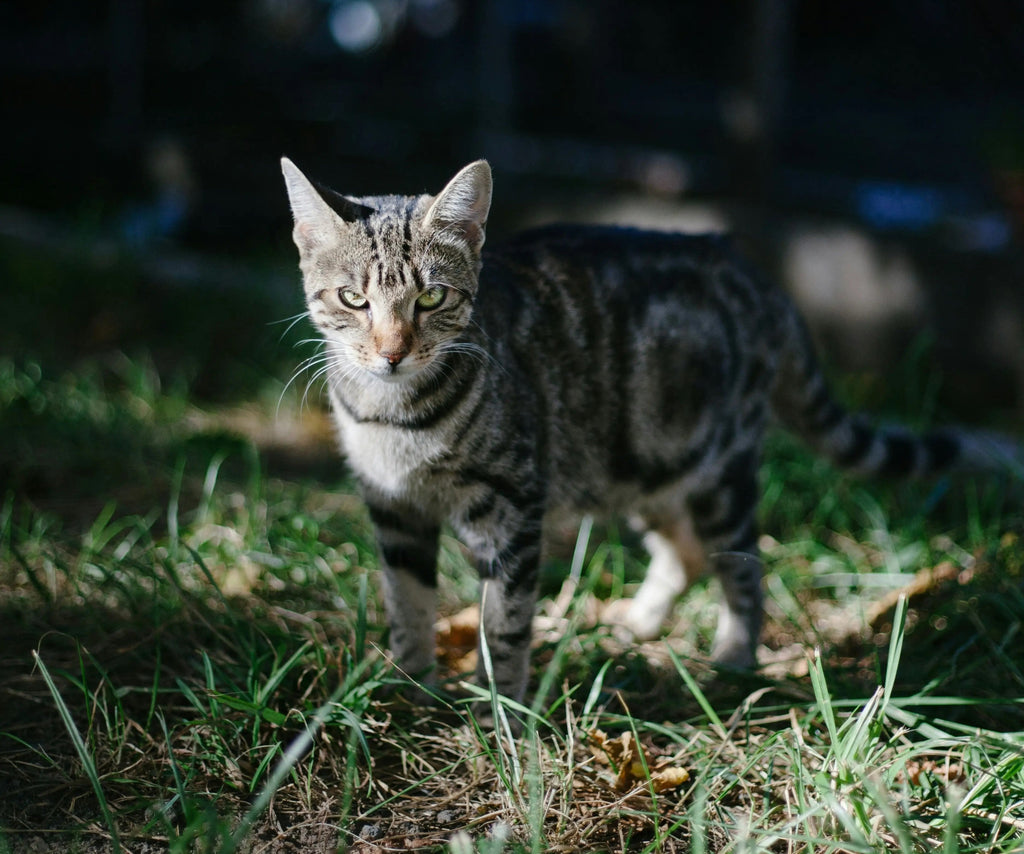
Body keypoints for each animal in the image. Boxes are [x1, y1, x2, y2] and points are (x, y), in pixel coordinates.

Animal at [278, 156, 1015, 700]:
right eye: (353, 298)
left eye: (430, 297)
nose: (392, 351)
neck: (392, 416)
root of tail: (752, 270)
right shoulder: (394, 509)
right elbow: (406, 605)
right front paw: (408, 692)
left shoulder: (512, 507)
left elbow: (504, 622)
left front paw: (500, 714)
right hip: (645, 460)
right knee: (686, 552)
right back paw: (637, 621)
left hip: (717, 469)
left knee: (744, 566)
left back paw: (732, 661)